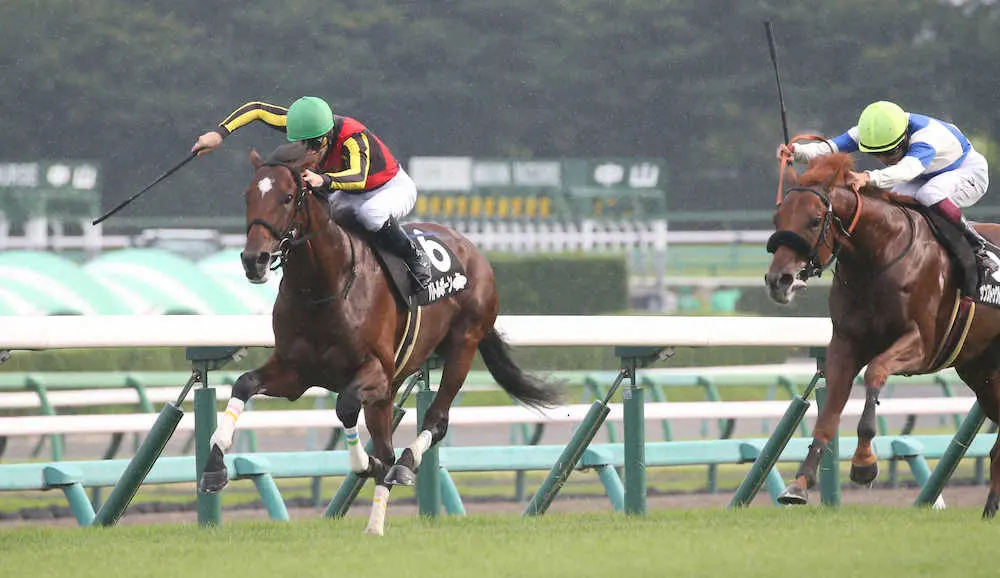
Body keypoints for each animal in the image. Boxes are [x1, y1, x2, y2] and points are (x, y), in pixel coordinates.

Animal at [199, 142, 564, 532]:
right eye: (247, 196)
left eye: (286, 197)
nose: (254, 259)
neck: (324, 288)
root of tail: (473, 250)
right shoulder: (295, 372)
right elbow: (244, 384)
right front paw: (214, 468)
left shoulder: (375, 371)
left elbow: (346, 407)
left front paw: (365, 462)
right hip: (392, 386)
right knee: (391, 440)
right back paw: (375, 524)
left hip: (463, 345)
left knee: (435, 422)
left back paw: (402, 468)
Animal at [764, 151, 1000, 516]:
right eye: (778, 217)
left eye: (815, 220)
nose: (779, 280)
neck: (878, 257)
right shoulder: (844, 345)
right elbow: (829, 413)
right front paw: (800, 483)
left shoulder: (922, 344)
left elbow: (875, 372)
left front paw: (864, 464)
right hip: (983, 372)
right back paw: (989, 510)